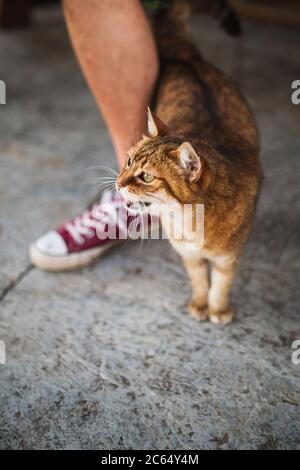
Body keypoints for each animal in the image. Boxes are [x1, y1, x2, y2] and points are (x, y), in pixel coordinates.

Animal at [116, 0, 262, 324]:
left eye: (146, 177)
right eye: (128, 161)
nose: (118, 184)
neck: (188, 220)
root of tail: (183, 56)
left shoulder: (228, 258)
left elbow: (220, 284)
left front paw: (218, 310)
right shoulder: (189, 255)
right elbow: (198, 280)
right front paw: (199, 304)